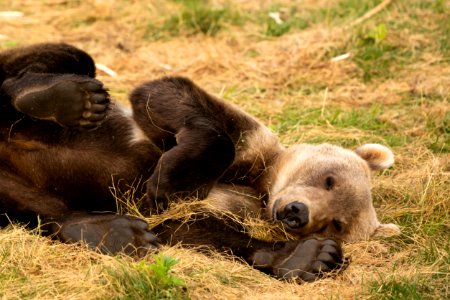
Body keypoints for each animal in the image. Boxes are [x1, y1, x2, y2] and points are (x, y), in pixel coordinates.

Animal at [1, 43, 400, 282]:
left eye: (336, 223)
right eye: (329, 179)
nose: (296, 212)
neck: (262, 187)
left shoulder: (231, 207)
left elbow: (187, 230)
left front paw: (312, 256)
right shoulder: (245, 141)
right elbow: (168, 98)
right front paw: (170, 179)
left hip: (22, 187)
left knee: (43, 210)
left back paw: (112, 232)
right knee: (63, 60)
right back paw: (60, 97)